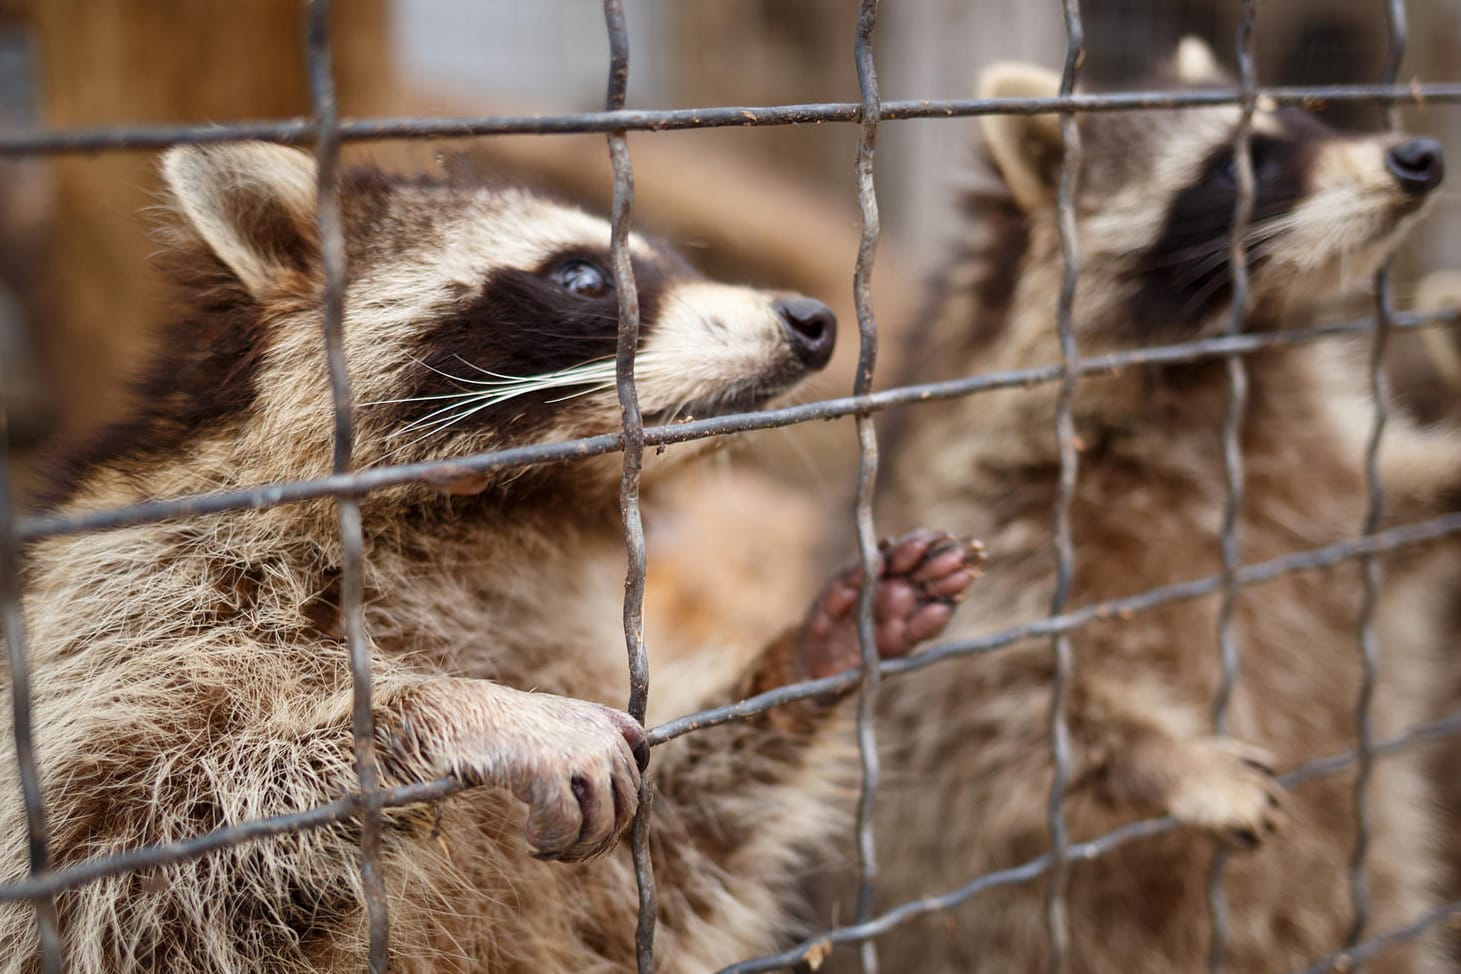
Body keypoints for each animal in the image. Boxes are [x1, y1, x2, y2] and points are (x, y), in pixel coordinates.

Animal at [0, 144, 987, 974]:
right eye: (583, 277)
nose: (812, 319)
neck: (497, 517)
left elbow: (648, 876)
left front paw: (815, 656)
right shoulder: (126, 608)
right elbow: (121, 856)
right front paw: (456, 710)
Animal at [847, 36, 1461, 969]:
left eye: (1308, 118)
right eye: (1239, 162)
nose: (1417, 157)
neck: (1204, 377)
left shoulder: (1313, 480)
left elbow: (1394, 504)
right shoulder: (996, 508)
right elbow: (995, 702)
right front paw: (1167, 760)